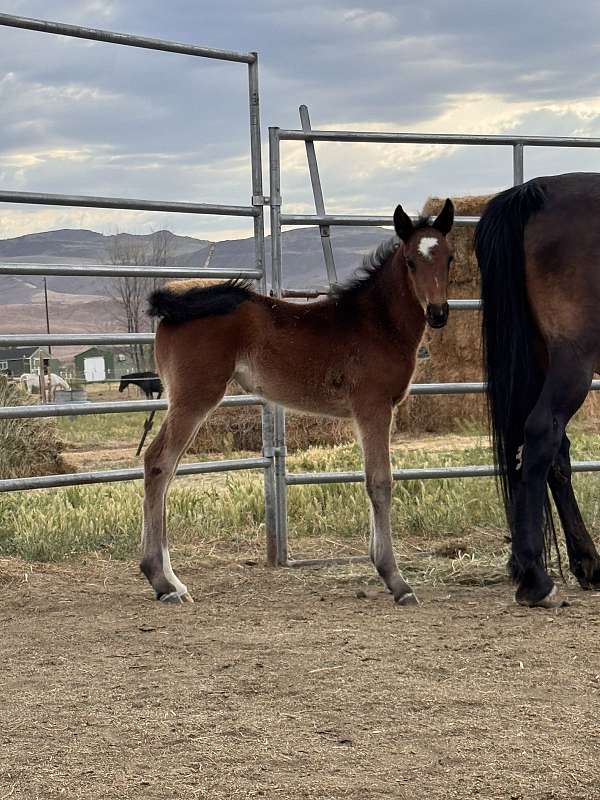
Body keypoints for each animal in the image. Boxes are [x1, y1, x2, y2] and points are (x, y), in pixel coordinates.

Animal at [140, 199, 455, 604]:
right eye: (412, 261)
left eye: (449, 258)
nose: (438, 313)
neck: (375, 323)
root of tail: (173, 308)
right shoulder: (373, 407)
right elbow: (380, 482)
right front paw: (395, 579)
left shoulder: (369, 414)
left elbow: (370, 479)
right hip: (195, 398)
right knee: (159, 463)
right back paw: (161, 581)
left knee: (165, 468)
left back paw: (171, 580)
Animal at [475, 172, 600, 609]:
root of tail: (538, 190)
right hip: (572, 359)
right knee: (543, 433)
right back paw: (535, 578)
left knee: (554, 452)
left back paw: (587, 564)